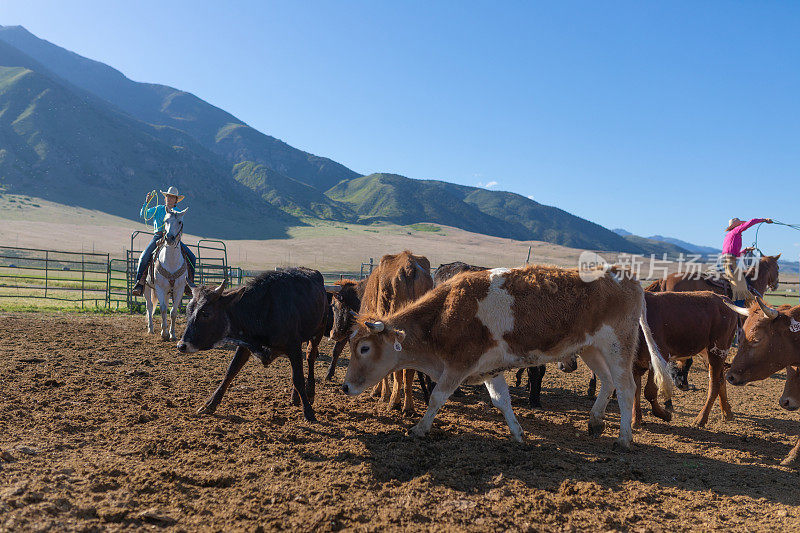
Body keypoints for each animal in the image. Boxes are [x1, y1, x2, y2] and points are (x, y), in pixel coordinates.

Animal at [145, 209, 189, 338]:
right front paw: (164, 333)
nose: (169, 238)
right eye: (166, 221)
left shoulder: (179, 289)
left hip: (169, 291)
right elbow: (163, 309)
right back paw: (151, 329)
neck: (171, 261)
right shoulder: (160, 288)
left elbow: (173, 312)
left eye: (180, 222)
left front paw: (172, 334)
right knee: (149, 306)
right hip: (147, 287)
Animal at [178, 266, 328, 420]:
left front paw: (308, 411)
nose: (181, 345)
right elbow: (230, 371)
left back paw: (310, 392)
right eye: (188, 311)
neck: (261, 312)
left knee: (310, 357)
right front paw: (210, 404)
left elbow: (297, 378)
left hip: (318, 332)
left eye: (206, 313)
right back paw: (295, 397)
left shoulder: (293, 346)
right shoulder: (245, 346)